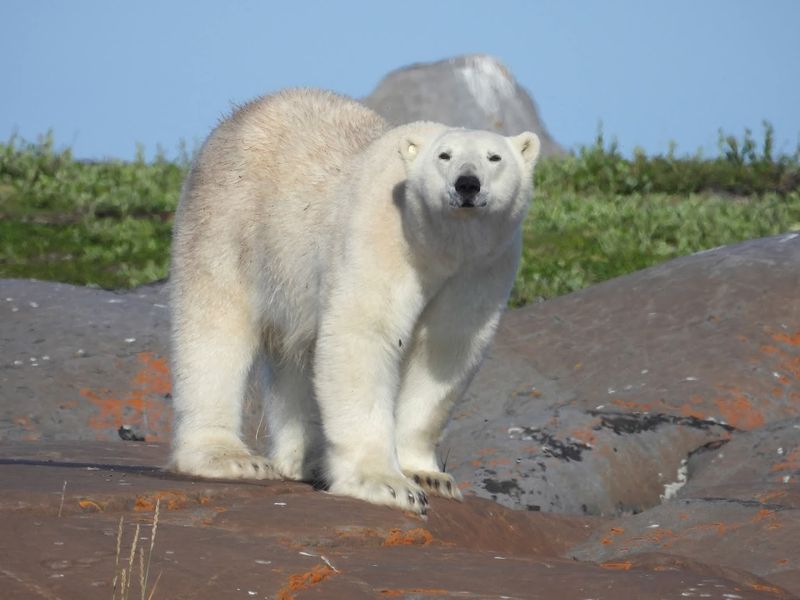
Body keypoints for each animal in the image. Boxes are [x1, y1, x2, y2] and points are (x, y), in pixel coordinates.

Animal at [169, 88, 540, 515]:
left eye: (494, 157)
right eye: (444, 156)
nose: (467, 184)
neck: (442, 246)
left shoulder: (482, 266)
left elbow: (444, 352)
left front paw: (427, 476)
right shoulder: (384, 236)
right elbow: (362, 334)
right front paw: (387, 485)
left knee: (295, 358)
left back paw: (306, 459)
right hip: (230, 219)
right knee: (215, 331)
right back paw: (229, 456)